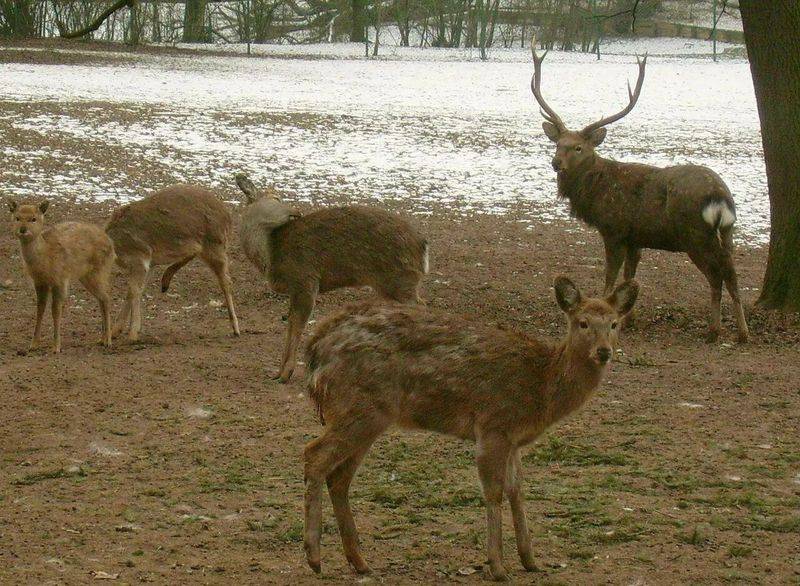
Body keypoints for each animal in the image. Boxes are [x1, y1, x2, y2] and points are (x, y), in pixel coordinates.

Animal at [8, 200, 114, 353]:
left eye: (33, 218)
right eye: (17, 217)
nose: (22, 230)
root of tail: (112, 245)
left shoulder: (60, 279)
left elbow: (55, 310)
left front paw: (56, 347)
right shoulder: (39, 282)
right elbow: (40, 308)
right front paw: (33, 345)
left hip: (99, 271)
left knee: (106, 298)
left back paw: (108, 341)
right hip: (86, 276)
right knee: (101, 298)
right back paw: (101, 339)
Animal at [105, 184, 240, 342]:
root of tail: (228, 217)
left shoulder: (140, 257)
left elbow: (134, 290)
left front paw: (132, 334)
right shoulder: (148, 264)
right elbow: (133, 290)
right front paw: (115, 331)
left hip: (215, 245)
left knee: (226, 281)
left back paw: (236, 329)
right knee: (196, 255)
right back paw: (165, 282)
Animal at [235, 173, 429, 383]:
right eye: (275, 198)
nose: (297, 211)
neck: (270, 257)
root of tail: (423, 246)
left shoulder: (305, 279)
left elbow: (297, 326)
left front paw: (286, 374)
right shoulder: (295, 289)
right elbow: (291, 324)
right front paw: (278, 373)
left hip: (400, 279)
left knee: (420, 308)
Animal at [303, 276, 638, 581]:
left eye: (614, 324)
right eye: (583, 323)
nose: (604, 352)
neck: (540, 388)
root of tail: (316, 347)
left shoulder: (514, 439)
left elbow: (517, 490)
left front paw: (530, 560)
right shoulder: (493, 425)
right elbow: (493, 491)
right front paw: (498, 567)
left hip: (365, 415)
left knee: (339, 476)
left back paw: (359, 561)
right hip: (360, 407)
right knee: (314, 455)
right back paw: (315, 557)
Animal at [530, 45, 749, 343]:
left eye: (578, 148)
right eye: (558, 144)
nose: (556, 163)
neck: (596, 192)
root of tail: (720, 195)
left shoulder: (615, 230)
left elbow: (611, 276)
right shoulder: (635, 238)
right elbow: (630, 277)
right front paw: (628, 319)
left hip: (694, 234)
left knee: (716, 275)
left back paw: (714, 331)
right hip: (727, 229)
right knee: (732, 272)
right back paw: (742, 333)